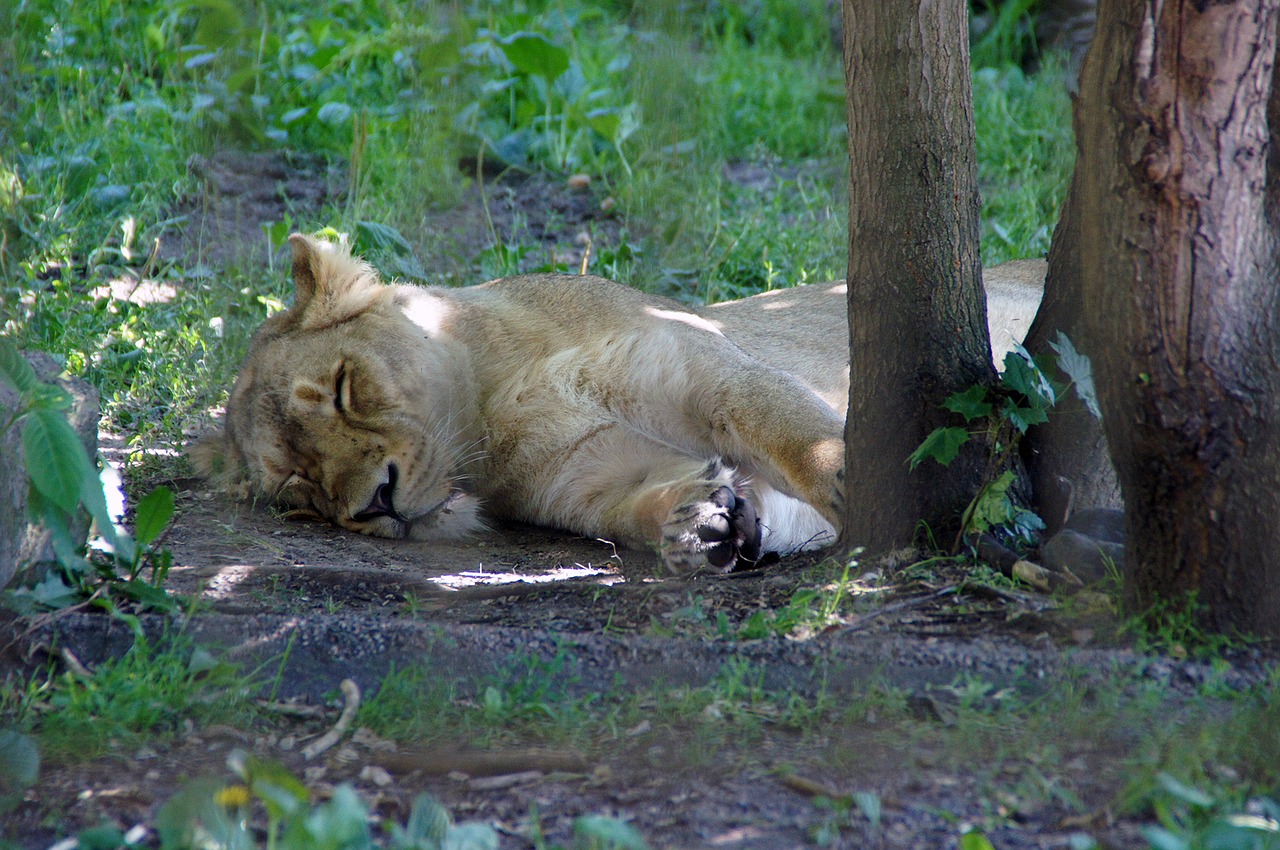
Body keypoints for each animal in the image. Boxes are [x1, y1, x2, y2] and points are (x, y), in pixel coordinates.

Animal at [194, 235, 1044, 573]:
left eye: (344, 389)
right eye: (300, 489)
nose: (376, 502)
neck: (496, 407)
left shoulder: (696, 361)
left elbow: (788, 426)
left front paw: (862, 483)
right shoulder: (586, 474)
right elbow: (632, 506)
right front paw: (698, 526)